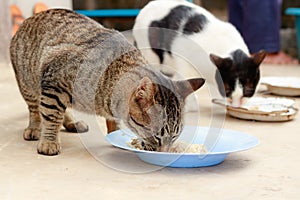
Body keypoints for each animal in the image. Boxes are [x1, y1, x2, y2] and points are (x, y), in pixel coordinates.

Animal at [9, 9, 206, 156]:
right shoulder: (54, 82)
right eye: (157, 137)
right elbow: (51, 116)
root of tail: (29, 19)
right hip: (28, 83)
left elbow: (112, 121)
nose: (165, 151)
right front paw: (49, 140)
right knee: (36, 109)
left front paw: (114, 135)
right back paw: (35, 128)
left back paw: (72, 122)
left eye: (174, 137)